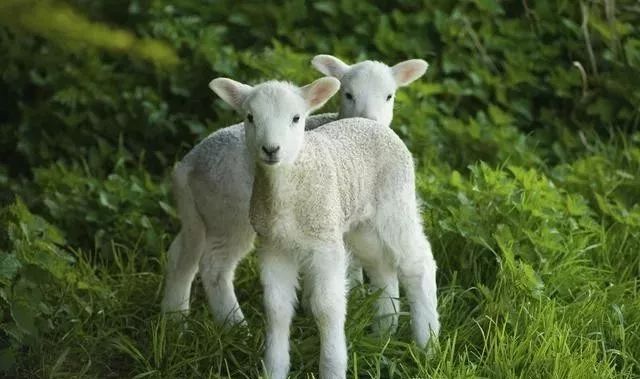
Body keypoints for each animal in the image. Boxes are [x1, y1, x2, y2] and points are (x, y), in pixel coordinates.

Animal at [160, 55, 430, 332]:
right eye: (348, 94)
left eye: (390, 96)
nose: (371, 121)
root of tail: (187, 166)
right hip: (230, 215)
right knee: (216, 266)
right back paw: (236, 326)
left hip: (201, 214)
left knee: (182, 255)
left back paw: (174, 319)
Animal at [210, 77, 440, 379]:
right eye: (250, 117)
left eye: (296, 118)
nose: (271, 149)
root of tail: (373, 123)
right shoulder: (274, 246)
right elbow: (277, 308)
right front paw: (274, 368)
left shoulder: (325, 245)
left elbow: (327, 307)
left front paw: (332, 366)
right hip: (359, 223)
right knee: (382, 267)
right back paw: (384, 332)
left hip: (395, 204)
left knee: (418, 264)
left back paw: (428, 343)